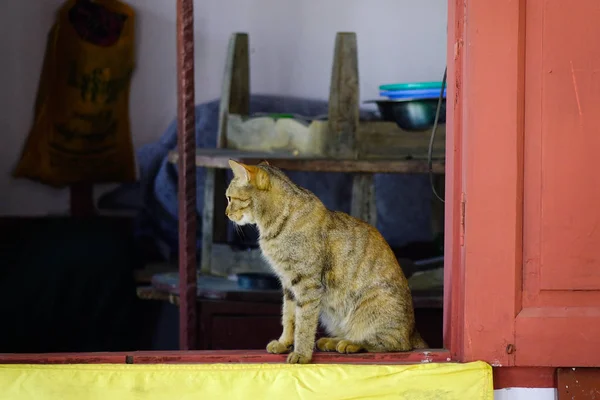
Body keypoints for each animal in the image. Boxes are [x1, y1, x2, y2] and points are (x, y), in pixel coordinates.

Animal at [225, 159, 426, 362]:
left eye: (229, 198)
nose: (226, 213)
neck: (272, 225)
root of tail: (414, 333)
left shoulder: (307, 284)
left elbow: (304, 322)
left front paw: (301, 354)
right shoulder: (288, 284)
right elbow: (289, 316)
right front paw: (284, 343)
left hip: (373, 306)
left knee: (393, 344)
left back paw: (350, 343)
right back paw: (332, 341)